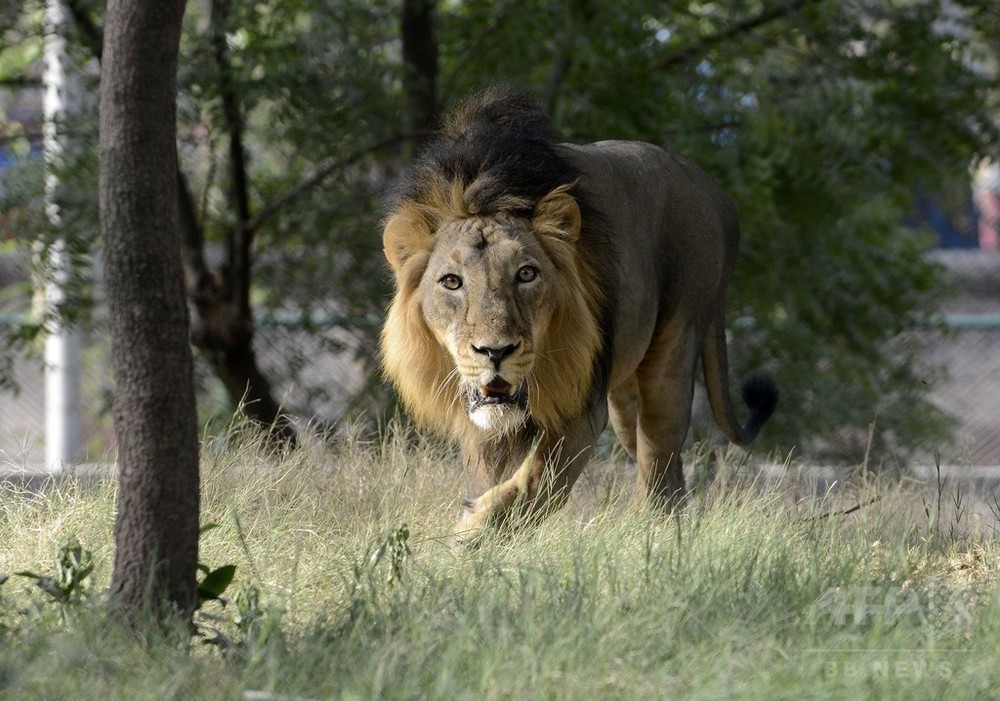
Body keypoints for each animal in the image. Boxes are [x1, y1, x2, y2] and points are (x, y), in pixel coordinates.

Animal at [378, 86, 776, 536]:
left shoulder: (582, 405)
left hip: (675, 347)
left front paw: (472, 530)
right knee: (664, 467)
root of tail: (717, 194)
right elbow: (491, 477)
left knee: (659, 460)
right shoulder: (481, 423)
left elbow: (536, 482)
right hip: (624, 396)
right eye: (451, 282)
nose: (495, 352)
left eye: (526, 274)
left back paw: (649, 534)